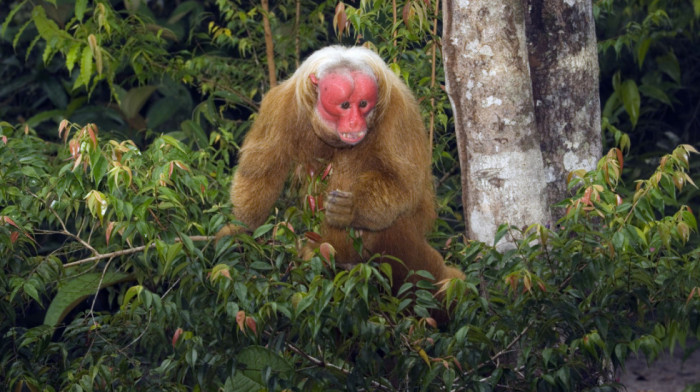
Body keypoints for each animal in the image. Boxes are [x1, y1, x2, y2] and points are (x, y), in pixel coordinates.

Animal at [216, 45, 462, 294]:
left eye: (363, 104)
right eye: (345, 105)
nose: (355, 123)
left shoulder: (398, 111)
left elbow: (404, 185)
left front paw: (352, 209)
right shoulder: (282, 105)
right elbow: (262, 172)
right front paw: (241, 228)